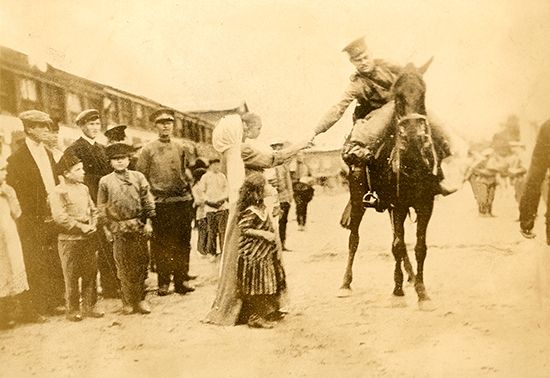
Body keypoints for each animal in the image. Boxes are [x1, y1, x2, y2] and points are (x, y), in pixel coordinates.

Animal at [336, 59, 440, 308]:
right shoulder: (399, 205)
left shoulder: (425, 205)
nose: (413, 134)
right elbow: (399, 245)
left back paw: (408, 278)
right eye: (398, 97)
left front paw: (422, 292)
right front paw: (400, 290)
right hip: (358, 199)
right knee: (354, 239)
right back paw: (345, 284)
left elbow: (419, 247)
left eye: (423, 94)